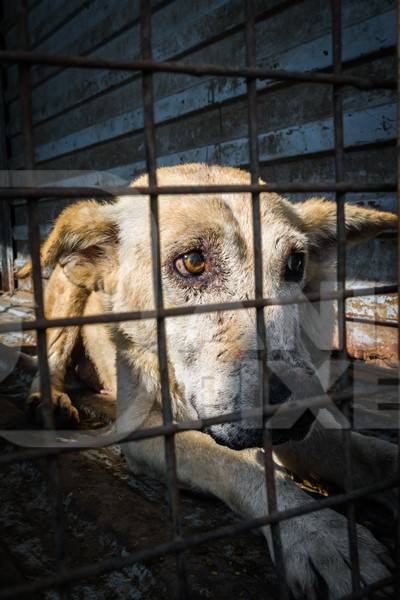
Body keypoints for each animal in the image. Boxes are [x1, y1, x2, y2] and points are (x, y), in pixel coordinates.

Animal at [20, 164, 398, 600]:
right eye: (194, 262)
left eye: (296, 263)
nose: (293, 409)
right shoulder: (149, 429)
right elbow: (239, 463)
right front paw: (320, 534)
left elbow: (369, 452)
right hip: (67, 294)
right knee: (50, 357)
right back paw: (50, 400)